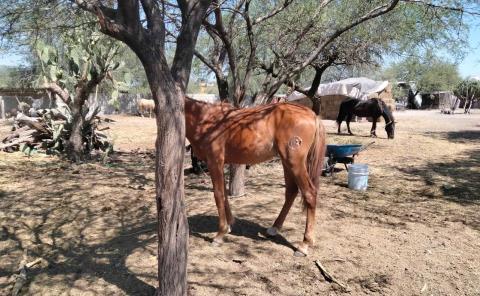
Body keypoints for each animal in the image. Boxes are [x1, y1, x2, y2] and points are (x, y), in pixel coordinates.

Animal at [185, 96, 326, 256]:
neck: (207, 119)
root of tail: (312, 115)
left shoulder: (214, 162)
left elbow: (219, 195)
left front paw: (220, 234)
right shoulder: (220, 165)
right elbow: (225, 195)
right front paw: (229, 225)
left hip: (295, 162)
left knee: (310, 194)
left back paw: (304, 244)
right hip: (287, 162)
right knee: (291, 192)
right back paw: (274, 228)